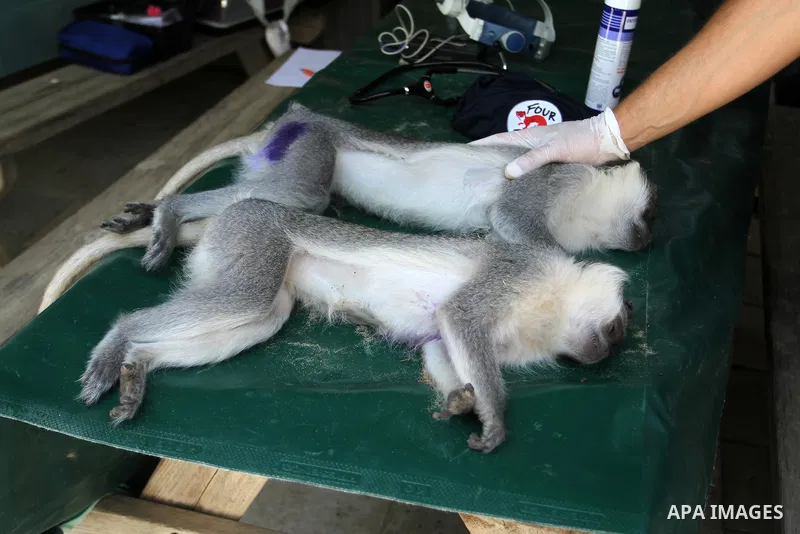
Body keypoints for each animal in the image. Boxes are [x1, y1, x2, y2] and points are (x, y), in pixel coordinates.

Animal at [80, 199, 633, 454]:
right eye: (615, 333)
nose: (603, 355)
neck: (549, 299)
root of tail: (229, 215)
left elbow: (439, 346)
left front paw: (462, 402)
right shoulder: (516, 273)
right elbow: (460, 316)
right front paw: (494, 416)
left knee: (260, 317)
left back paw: (139, 365)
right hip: (254, 238)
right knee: (245, 300)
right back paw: (121, 341)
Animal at [100, 104, 657, 274]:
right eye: (649, 216)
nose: (648, 240)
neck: (580, 204)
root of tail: (293, 116)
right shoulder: (545, 179)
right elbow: (514, 221)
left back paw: (149, 213)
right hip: (309, 144)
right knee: (299, 196)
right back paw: (170, 211)